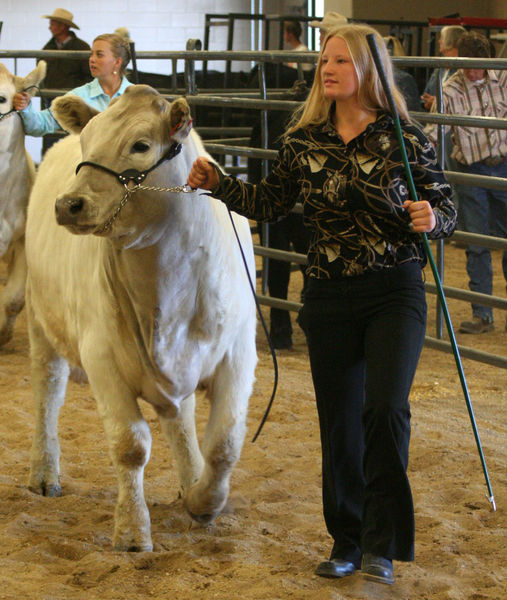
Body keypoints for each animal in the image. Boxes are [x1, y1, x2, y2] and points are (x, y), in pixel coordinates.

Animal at [24, 85, 258, 552]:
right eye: (86, 139)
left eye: (141, 145)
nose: (69, 203)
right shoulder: (101, 357)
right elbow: (130, 445)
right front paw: (133, 531)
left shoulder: (239, 354)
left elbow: (223, 444)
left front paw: (204, 499)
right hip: (41, 323)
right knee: (47, 394)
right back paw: (44, 472)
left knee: (180, 420)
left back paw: (190, 479)